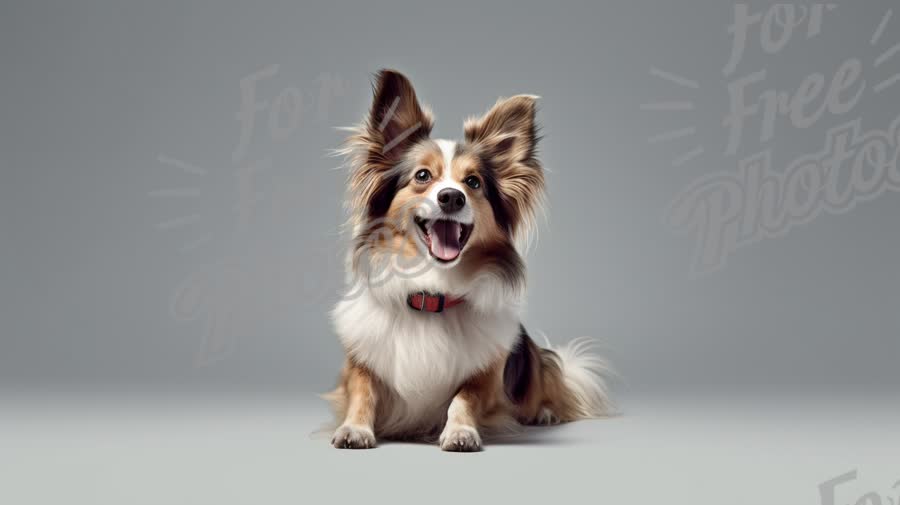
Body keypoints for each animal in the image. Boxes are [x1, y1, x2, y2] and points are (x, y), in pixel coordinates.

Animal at [326, 69, 612, 450]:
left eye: (473, 182)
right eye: (422, 176)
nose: (452, 197)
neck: (432, 293)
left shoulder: (487, 375)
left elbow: (465, 397)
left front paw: (461, 431)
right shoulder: (360, 361)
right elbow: (363, 390)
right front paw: (355, 428)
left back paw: (545, 412)